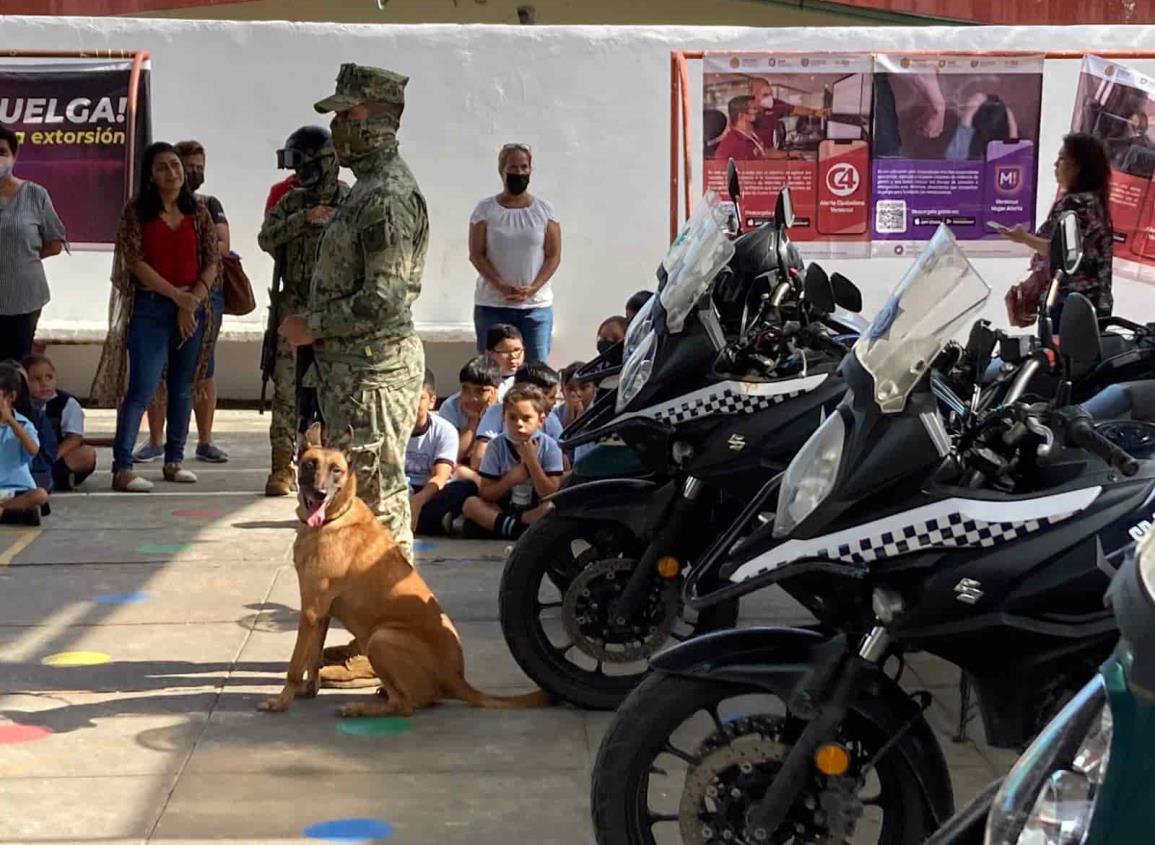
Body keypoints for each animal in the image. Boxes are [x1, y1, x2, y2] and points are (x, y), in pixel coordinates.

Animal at [262, 424, 549, 715]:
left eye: (336, 470)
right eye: (309, 465)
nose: (320, 493)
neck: (334, 518)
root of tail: (456, 679)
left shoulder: (310, 611)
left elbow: (296, 664)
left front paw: (281, 701)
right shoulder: (320, 614)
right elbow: (313, 658)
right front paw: (309, 689)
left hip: (381, 638)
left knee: (405, 705)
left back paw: (359, 707)